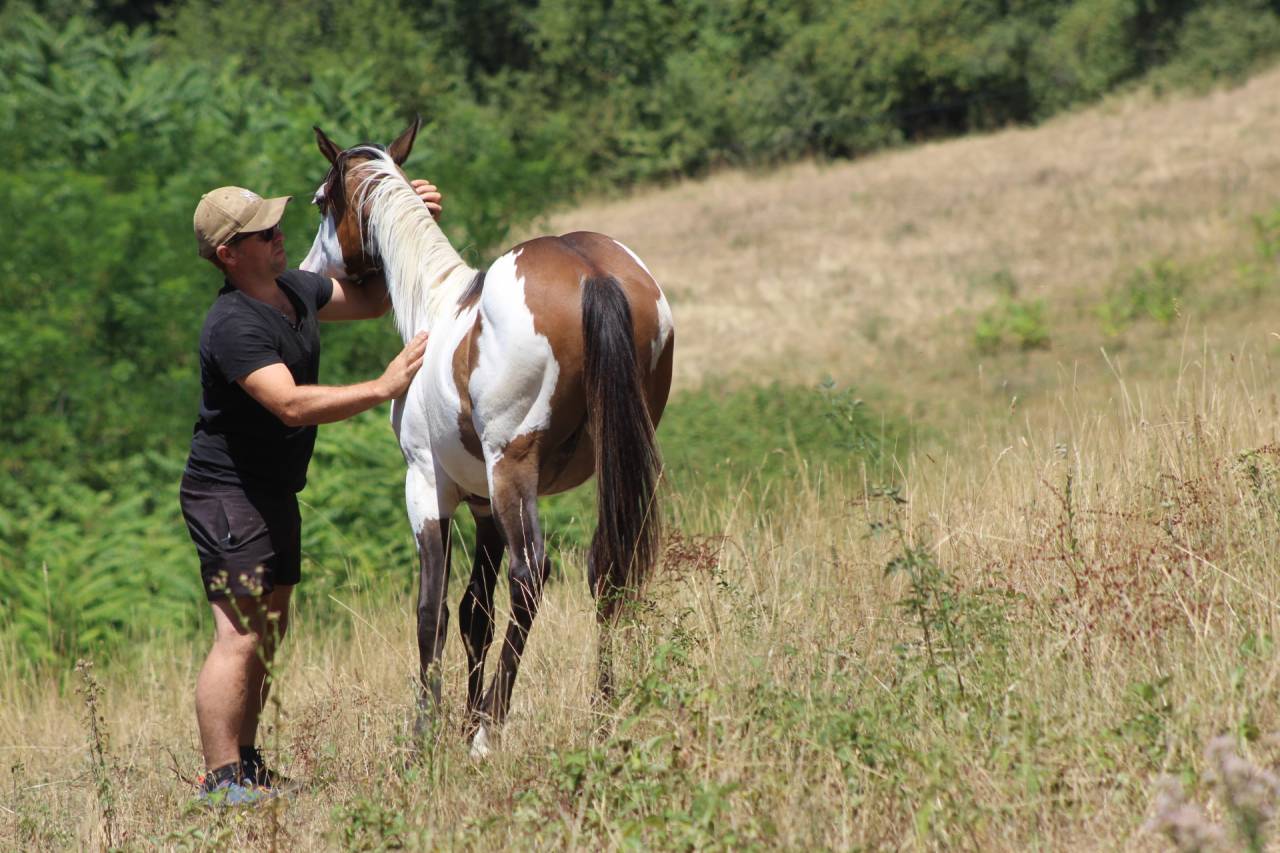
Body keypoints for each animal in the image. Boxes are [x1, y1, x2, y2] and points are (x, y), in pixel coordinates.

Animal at [299, 118, 674, 756]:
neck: (434, 305)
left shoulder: (429, 489)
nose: (306, 272)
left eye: (322, 201)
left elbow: (432, 612)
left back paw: (490, 733)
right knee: (607, 568)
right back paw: (603, 714)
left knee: (532, 576)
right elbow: (476, 610)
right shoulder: (480, 505)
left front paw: (429, 734)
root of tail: (593, 274)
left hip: (512, 472)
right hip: (609, 464)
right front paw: (463, 718)